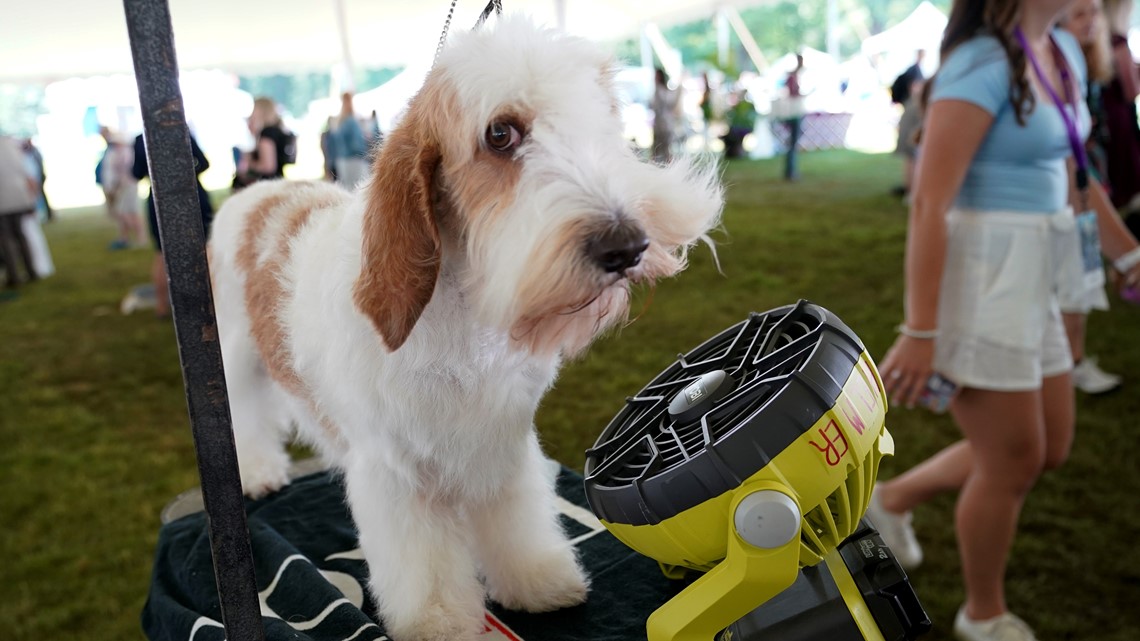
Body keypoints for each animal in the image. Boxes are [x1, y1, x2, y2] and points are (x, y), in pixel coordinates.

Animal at [207, 13, 720, 638]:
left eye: (600, 117)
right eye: (500, 134)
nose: (627, 246)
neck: (462, 312)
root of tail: (257, 193)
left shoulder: (502, 443)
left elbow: (518, 523)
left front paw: (538, 581)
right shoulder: (396, 475)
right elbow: (424, 566)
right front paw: (440, 622)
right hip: (235, 360)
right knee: (247, 418)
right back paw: (258, 471)